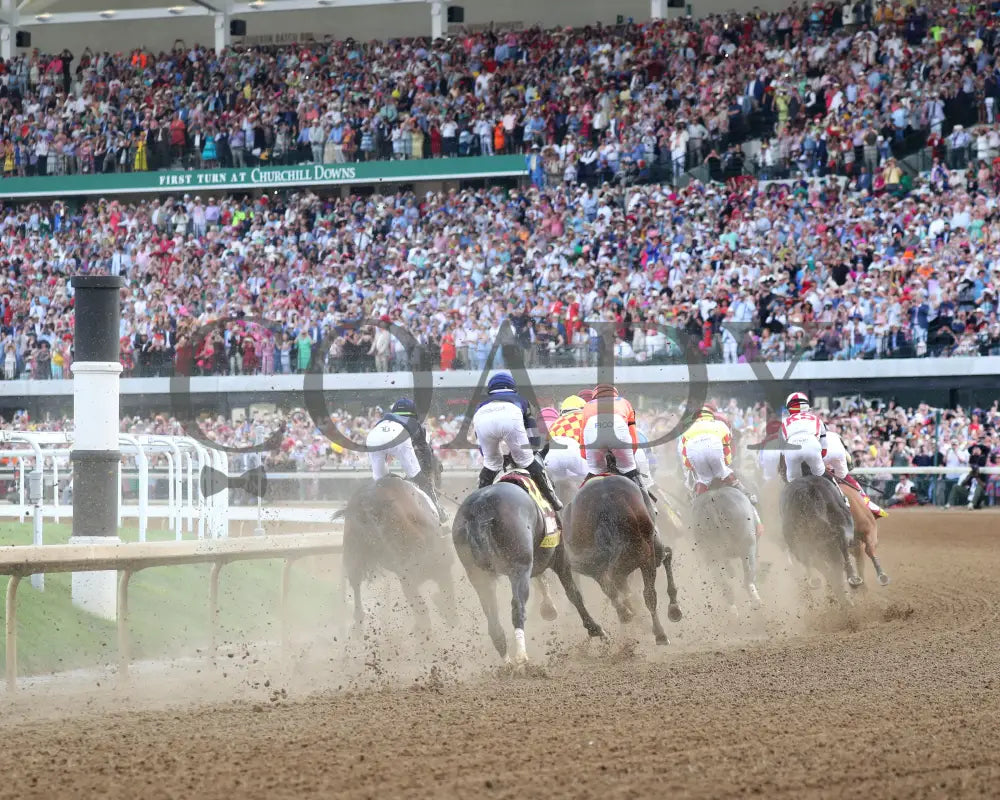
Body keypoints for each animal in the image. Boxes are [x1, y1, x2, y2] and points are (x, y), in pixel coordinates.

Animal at [456, 478, 608, 664]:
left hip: (479, 577)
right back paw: (521, 657)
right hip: (519, 569)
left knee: (493, 620)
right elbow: (574, 594)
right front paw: (595, 629)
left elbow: (543, 581)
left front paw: (548, 607)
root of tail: (479, 511)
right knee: (517, 607)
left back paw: (507, 661)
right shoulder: (560, 558)